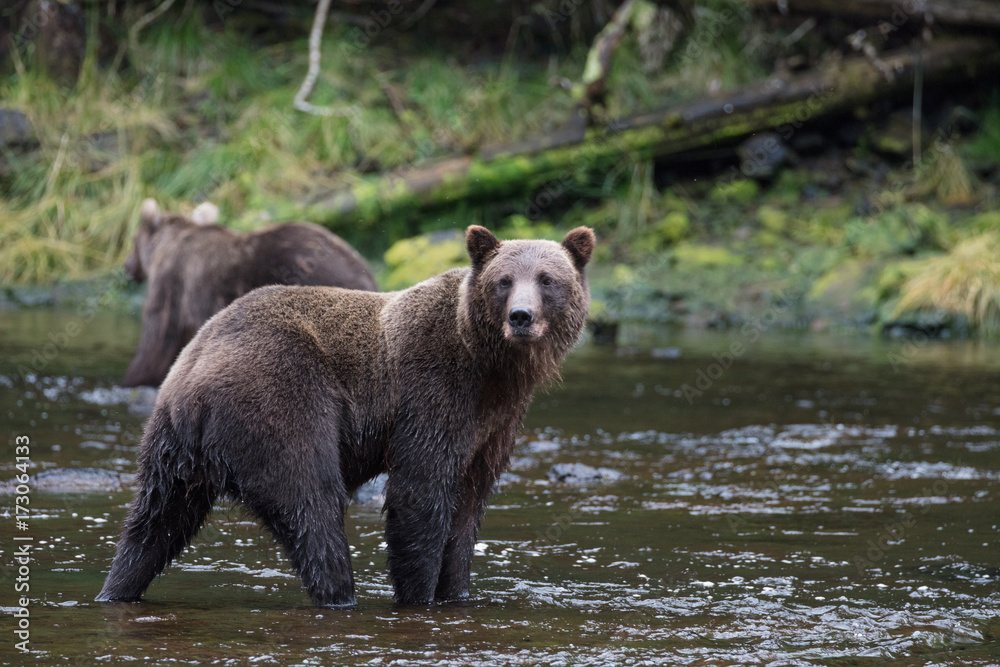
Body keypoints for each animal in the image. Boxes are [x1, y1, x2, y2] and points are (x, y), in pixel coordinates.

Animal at [96, 225, 595, 608]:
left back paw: (116, 588)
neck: (493, 368)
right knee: (313, 504)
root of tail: (193, 379)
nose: (521, 316)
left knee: (154, 522)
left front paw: (456, 591)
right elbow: (420, 493)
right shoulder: (433, 390)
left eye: (547, 279)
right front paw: (418, 594)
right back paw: (340, 594)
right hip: (282, 397)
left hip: (172, 449)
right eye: (504, 280)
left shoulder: (494, 424)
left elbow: (468, 507)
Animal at [122, 199, 378, 388]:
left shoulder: (172, 287)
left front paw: (134, 378)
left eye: (133, 240)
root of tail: (364, 271)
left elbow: (157, 338)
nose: (127, 267)